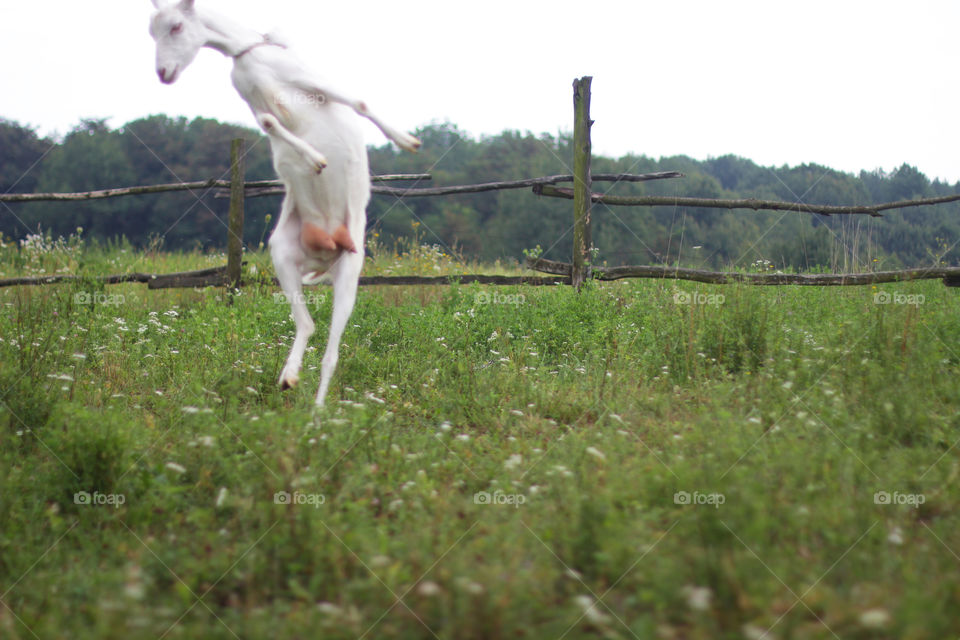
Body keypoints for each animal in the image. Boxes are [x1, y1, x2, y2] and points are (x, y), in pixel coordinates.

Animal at [148, 0, 420, 406]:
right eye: (152, 32)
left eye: (177, 26)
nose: (164, 73)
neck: (248, 53)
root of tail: (326, 249)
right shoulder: (255, 102)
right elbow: (271, 123)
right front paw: (314, 159)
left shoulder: (307, 79)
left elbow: (358, 101)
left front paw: (405, 140)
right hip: (283, 255)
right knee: (307, 325)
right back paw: (290, 379)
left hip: (350, 270)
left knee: (331, 353)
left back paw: (317, 413)